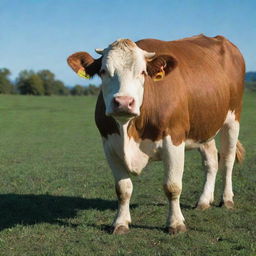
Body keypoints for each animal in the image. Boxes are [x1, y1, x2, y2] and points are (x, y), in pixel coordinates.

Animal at [67, 35, 245, 235]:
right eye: (103, 71)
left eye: (143, 72)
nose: (123, 102)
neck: (129, 130)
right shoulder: (109, 145)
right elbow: (123, 189)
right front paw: (120, 222)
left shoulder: (174, 140)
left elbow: (172, 186)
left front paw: (175, 223)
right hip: (205, 125)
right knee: (211, 161)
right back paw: (204, 200)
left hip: (233, 118)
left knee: (228, 159)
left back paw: (227, 199)